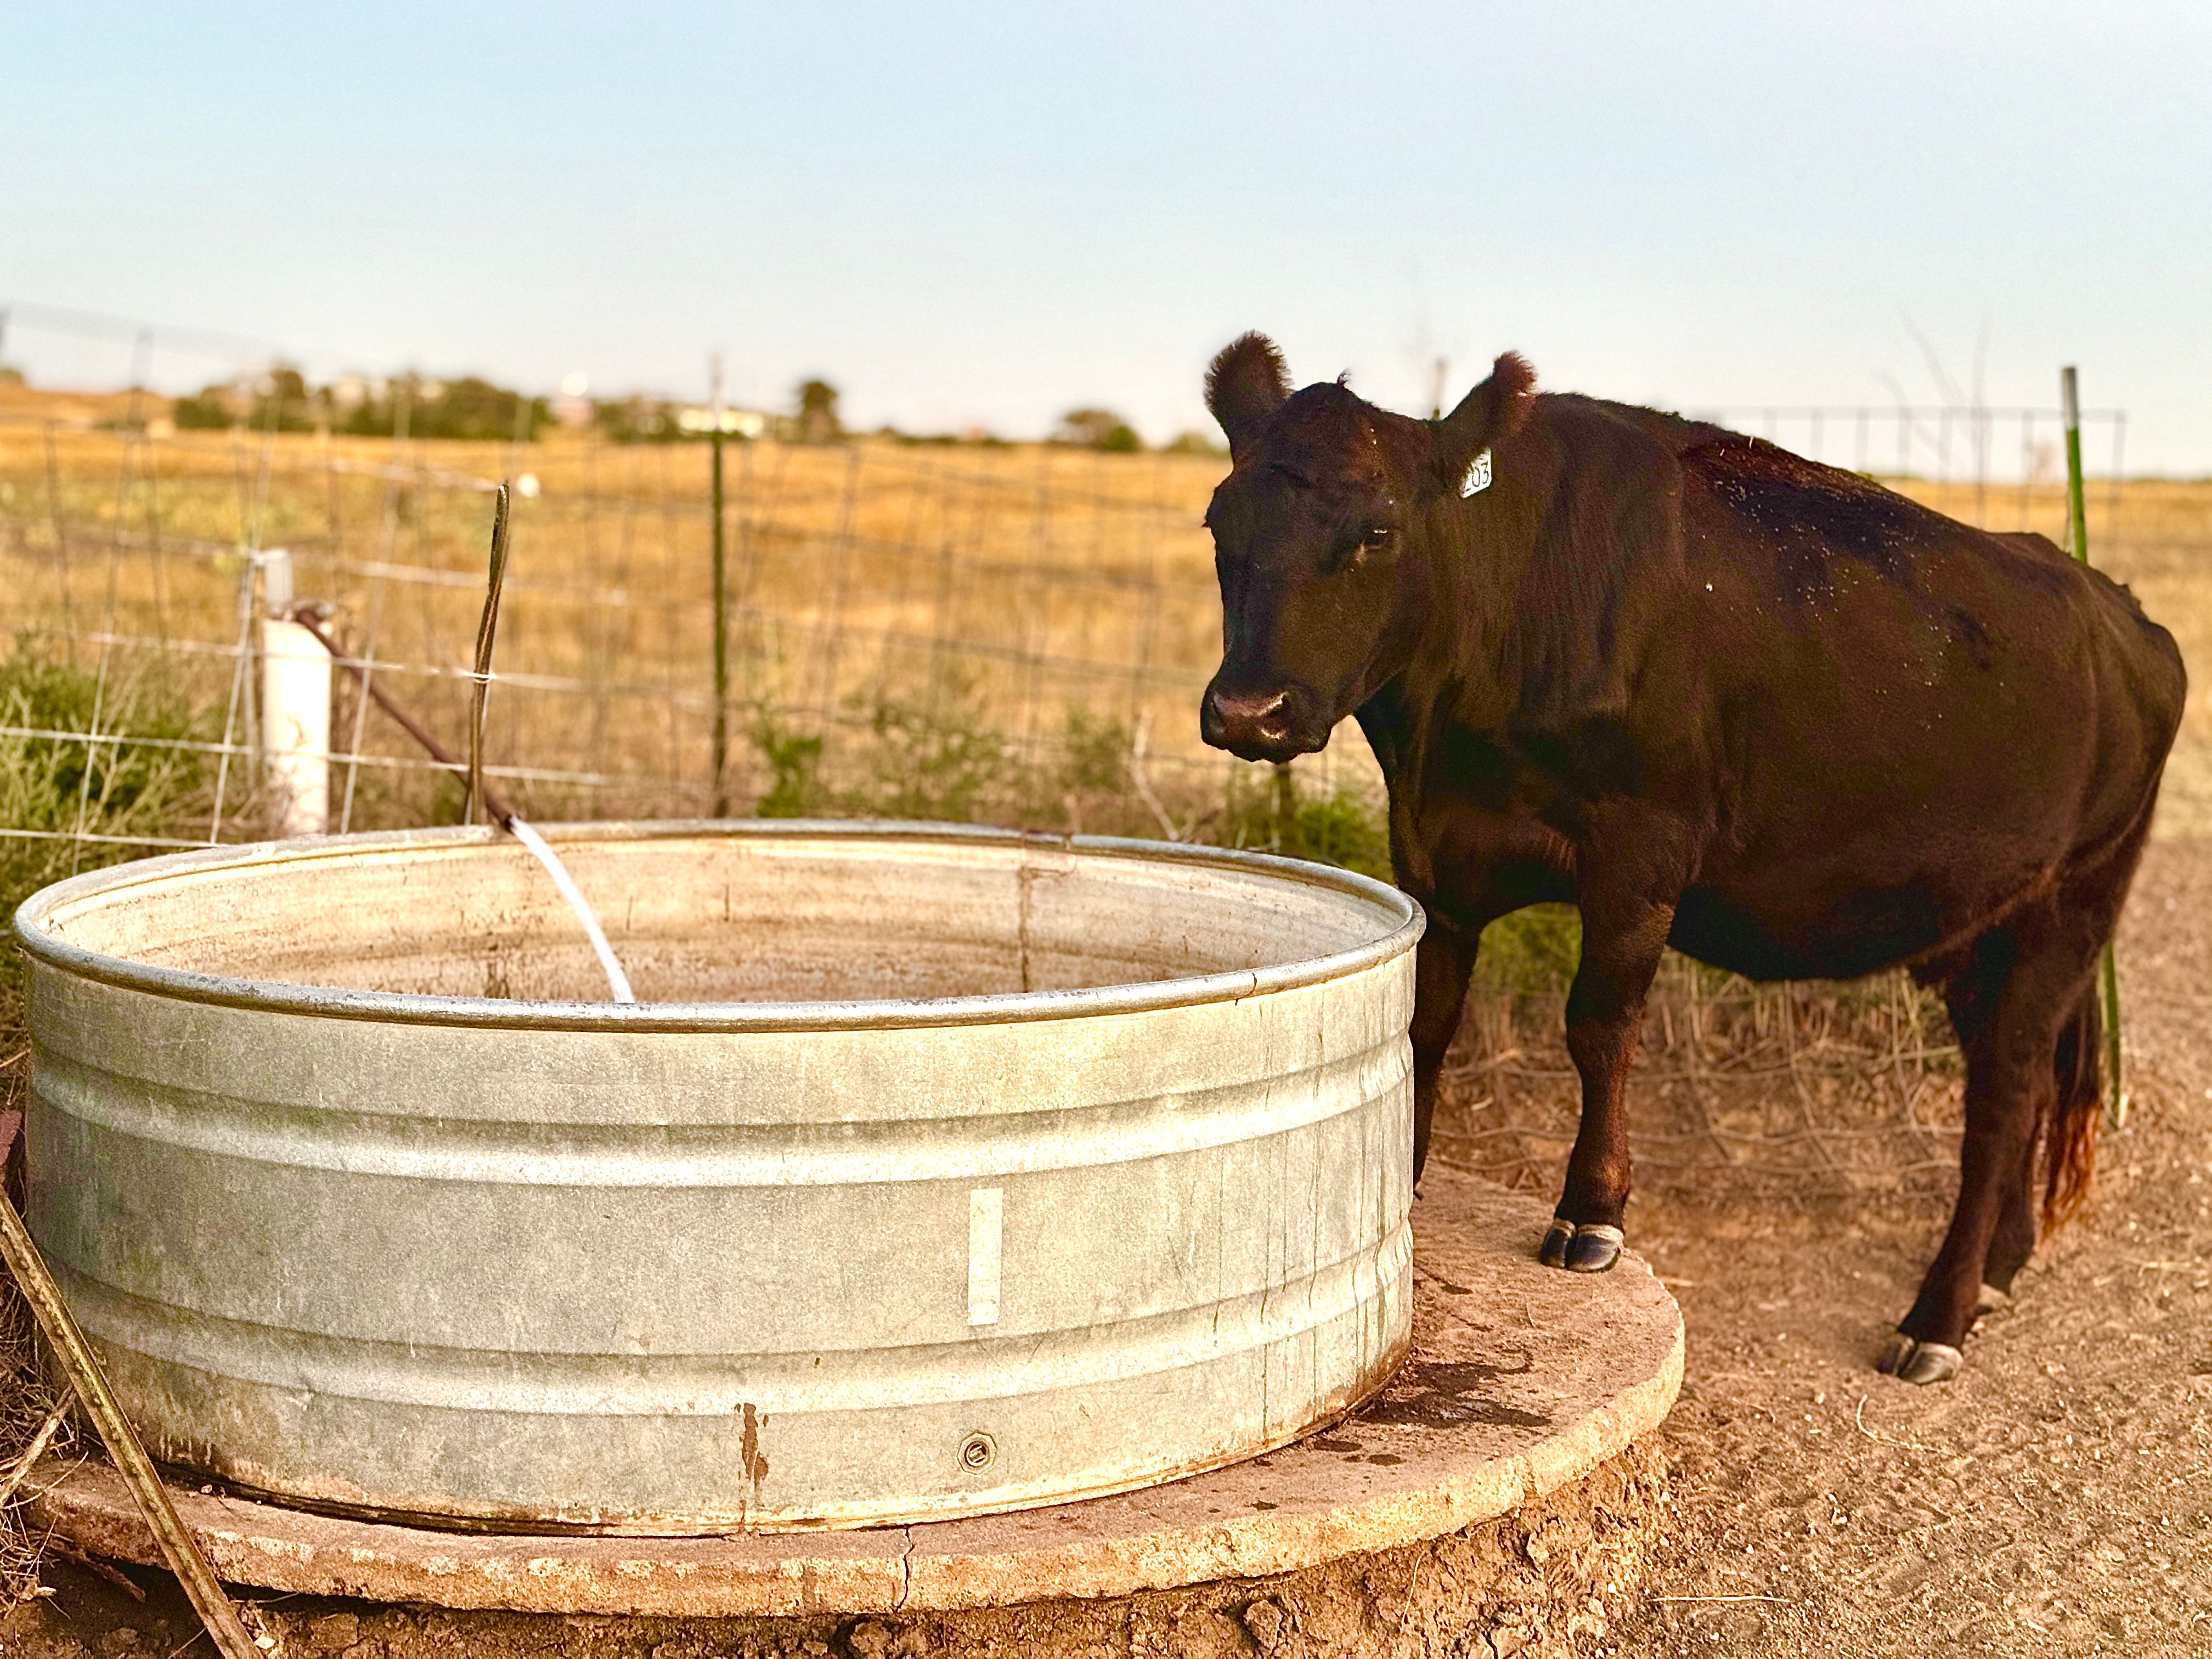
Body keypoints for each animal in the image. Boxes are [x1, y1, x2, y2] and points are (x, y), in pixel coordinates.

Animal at [1196, 331, 2186, 1383]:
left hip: (2072, 903)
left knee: (2002, 1098)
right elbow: (1424, 1023)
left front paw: (1591, 1212)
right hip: (1980, 927)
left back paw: (1938, 1317)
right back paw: (2001, 1268)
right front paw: (1404, 1185)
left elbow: (1598, 1026)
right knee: (2028, 1082)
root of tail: (2120, 610)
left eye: (1378, 531)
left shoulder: (1641, 848)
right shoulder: (1435, 853)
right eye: (1219, 521)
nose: (1249, 709)